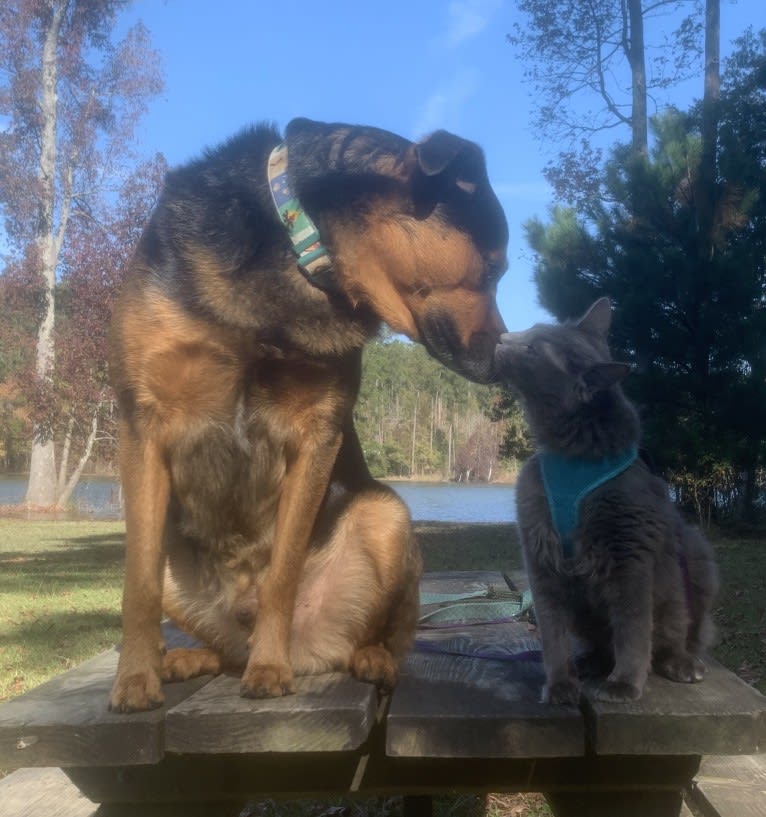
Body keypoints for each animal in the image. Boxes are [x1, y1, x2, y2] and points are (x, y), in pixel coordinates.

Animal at [106, 118, 504, 712]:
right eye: (496, 267)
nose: (504, 359)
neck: (298, 247)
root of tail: (309, 649)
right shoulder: (142, 423)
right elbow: (139, 585)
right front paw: (134, 677)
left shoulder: (317, 435)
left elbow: (283, 573)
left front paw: (269, 671)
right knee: (219, 647)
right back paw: (183, 659)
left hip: (386, 515)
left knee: (386, 636)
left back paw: (358, 658)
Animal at [498, 300, 720, 700]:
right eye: (532, 331)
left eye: (534, 348)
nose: (502, 338)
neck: (571, 454)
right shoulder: (539, 553)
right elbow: (552, 632)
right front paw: (560, 684)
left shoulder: (630, 556)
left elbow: (632, 629)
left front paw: (625, 683)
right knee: (601, 643)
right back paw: (589, 661)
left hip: (696, 551)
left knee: (679, 636)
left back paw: (680, 664)